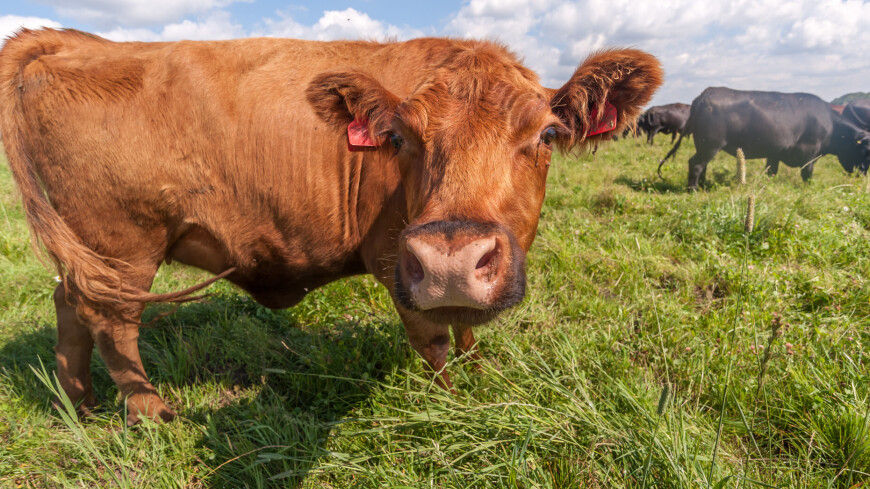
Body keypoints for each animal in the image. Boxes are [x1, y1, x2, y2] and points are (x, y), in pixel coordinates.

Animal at [0, 29, 662, 425]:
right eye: (400, 137)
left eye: (546, 134)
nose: (452, 261)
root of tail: (73, 40)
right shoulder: (399, 264)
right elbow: (435, 341)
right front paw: (455, 408)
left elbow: (468, 331)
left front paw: (481, 382)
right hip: (123, 247)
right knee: (113, 323)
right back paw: (150, 415)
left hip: (88, 251)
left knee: (70, 307)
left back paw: (81, 405)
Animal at [659, 87, 870, 190]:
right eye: (865, 151)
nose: (863, 175)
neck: (832, 124)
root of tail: (705, 94)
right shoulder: (810, 153)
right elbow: (807, 174)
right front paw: (809, 189)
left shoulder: (775, 153)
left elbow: (771, 172)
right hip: (709, 144)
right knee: (696, 164)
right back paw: (693, 188)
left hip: (705, 146)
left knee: (703, 165)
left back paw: (703, 185)